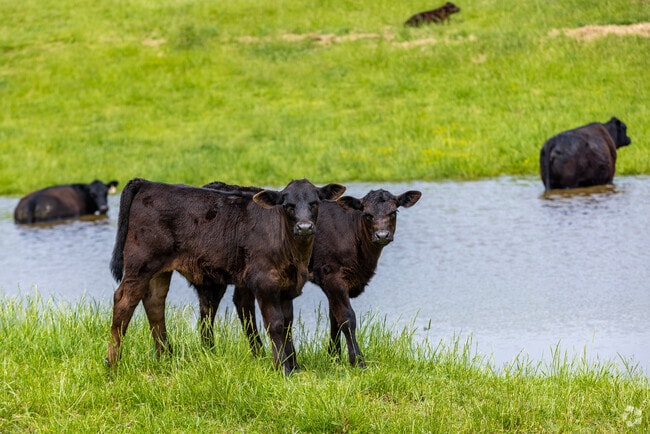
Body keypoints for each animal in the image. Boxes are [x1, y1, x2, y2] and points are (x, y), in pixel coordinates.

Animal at [106, 178, 346, 375]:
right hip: (140, 265)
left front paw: (294, 366)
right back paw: (113, 363)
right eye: (288, 205)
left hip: (160, 270)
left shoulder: (287, 287)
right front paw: (282, 368)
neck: (294, 257)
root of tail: (148, 183)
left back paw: (165, 356)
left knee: (155, 302)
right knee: (124, 300)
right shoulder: (264, 283)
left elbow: (287, 324)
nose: (304, 227)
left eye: (315, 203)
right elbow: (275, 323)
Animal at [198, 183, 422, 368]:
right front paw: (357, 361)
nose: (382, 235)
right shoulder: (331, 275)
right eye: (366, 214)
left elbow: (334, 317)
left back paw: (256, 353)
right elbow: (346, 317)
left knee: (240, 304)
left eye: (394, 212)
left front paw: (334, 356)